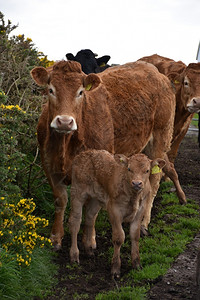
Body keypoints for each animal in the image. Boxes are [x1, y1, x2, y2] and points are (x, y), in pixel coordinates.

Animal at [30, 59, 186, 248]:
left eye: (80, 92)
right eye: (51, 90)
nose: (65, 122)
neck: (66, 146)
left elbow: (91, 208)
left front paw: (89, 239)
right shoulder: (49, 164)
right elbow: (60, 200)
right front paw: (56, 237)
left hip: (160, 140)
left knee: (155, 181)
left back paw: (143, 223)